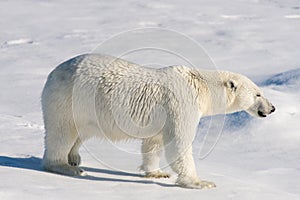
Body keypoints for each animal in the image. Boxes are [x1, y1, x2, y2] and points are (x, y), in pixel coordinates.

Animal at [41, 54, 276, 188]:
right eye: (258, 94)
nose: (272, 108)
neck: (200, 86)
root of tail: (52, 73)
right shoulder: (181, 104)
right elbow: (179, 143)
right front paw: (200, 182)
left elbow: (153, 143)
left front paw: (157, 172)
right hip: (68, 100)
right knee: (61, 132)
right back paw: (65, 166)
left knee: (80, 133)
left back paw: (74, 157)